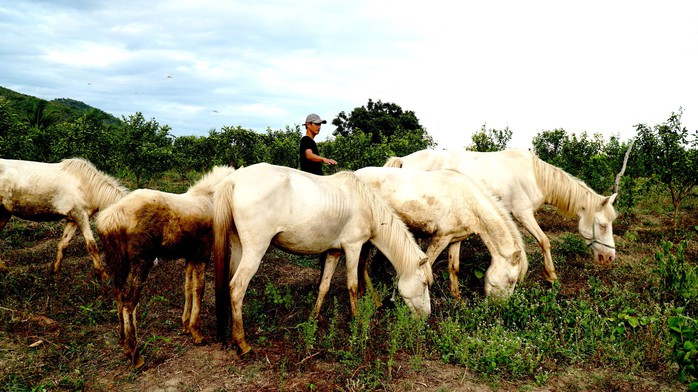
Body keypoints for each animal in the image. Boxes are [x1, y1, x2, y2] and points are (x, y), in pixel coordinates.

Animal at [95, 165, 237, 368]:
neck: (210, 199)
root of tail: (110, 219)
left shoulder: (189, 257)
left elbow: (188, 288)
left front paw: (186, 326)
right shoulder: (202, 255)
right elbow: (199, 290)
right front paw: (197, 333)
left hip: (118, 264)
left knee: (119, 297)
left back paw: (123, 342)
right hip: (141, 262)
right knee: (129, 304)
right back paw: (135, 355)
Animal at [211, 162, 430, 356]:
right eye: (425, 283)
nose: (427, 315)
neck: (367, 206)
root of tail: (233, 180)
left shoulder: (334, 252)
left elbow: (324, 286)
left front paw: (314, 318)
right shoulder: (353, 247)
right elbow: (352, 285)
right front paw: (356, 319)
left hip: (238, 247)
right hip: (255, 250)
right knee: (237, 288)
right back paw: (242, 344)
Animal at [356, 166, 524, 300]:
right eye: (511, 281)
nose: (500, 306)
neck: (468, 202)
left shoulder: (455, 239)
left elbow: (454, 268)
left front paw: (457, 300)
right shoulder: (441, 238)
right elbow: (428, 264)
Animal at [384, 148, 616, 282]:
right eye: (602, 225)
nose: (609, 258)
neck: (534, 176)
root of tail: (403, 160)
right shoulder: (523, 214)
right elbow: (544, 241)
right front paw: (551, 276)